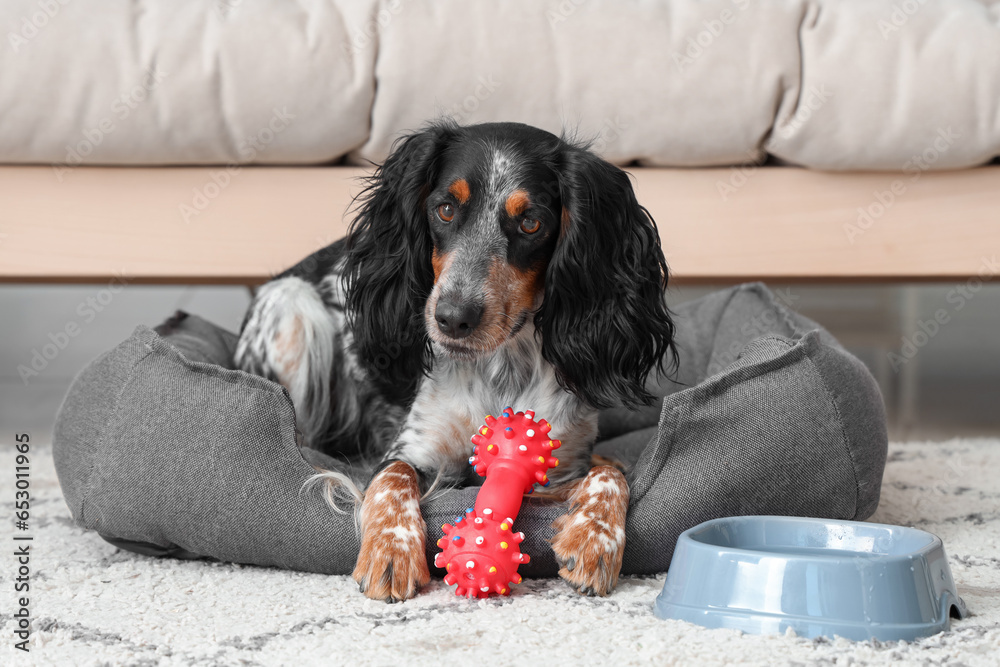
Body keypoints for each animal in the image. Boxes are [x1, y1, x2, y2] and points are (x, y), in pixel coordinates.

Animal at [235, 121, 676, 604]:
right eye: (445, 209)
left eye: (531, 222)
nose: (452, 318)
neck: (500, 370)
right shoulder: (412, 449)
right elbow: (392, 479)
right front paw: (391, 551)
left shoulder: (565, 462)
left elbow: (613, 473)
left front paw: (594, 539)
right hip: (291, 309)